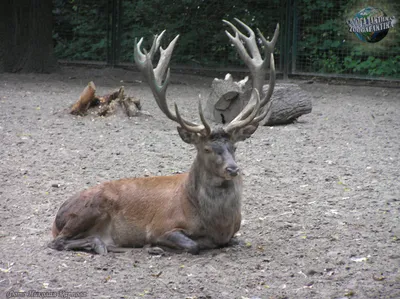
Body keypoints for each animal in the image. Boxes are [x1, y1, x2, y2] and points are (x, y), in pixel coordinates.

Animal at [48, 19, 280, 255]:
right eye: (206, 148)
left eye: (234, 147)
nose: (232, 169)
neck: (217, 225)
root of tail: (58, 215)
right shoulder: (161, 226)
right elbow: (193, 244)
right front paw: (155, 247)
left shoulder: (233, 233)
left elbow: (234, 240)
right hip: (87, 210)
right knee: (57, 241)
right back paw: (99, 244)